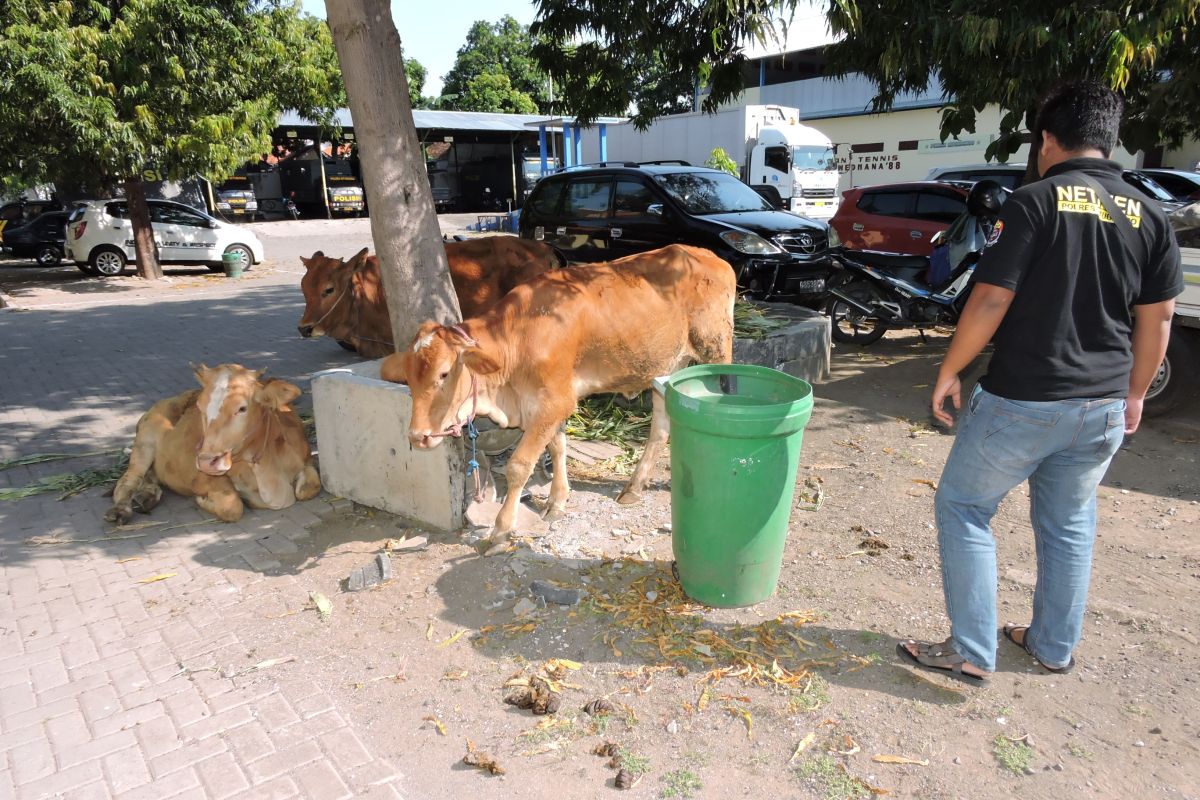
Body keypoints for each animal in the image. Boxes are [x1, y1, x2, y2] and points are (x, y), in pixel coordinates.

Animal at [106, 364, 321, 525]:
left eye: (242, 408)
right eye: (200, 407)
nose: (206, 461)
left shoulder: (307, 460)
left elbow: (310, 486)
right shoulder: (202, 479)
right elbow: (232, 505)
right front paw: (203, 500)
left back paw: (147, 496)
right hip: (145, 441)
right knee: (127, 480)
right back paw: (120, 510)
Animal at [384, 244, 734, 551]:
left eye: (444, 374)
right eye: (410, 378)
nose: (418, 436)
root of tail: (707, 255)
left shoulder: (555, 401)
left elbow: (519, 466)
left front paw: (500, 530)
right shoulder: (548, 405)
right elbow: (558, 447)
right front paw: (557, 501)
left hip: (715, 351)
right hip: (665, 369)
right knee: (661, 427)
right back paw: (634, 487)